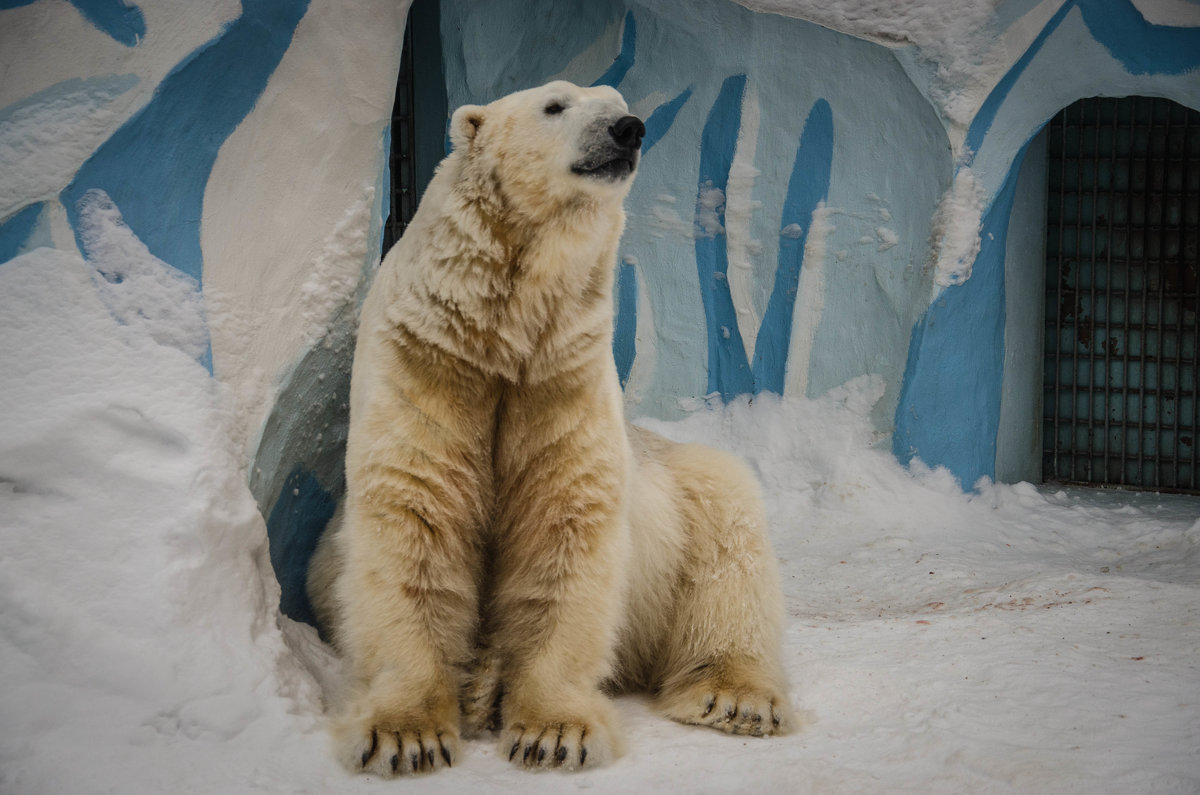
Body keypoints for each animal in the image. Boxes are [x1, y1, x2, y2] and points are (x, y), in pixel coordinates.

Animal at [309, 81, 792, 778]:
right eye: (555, 105)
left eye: (617, 99)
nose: (628, 128)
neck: (501, 329)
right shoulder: (426, 360)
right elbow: (413, 518)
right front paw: (406, 735)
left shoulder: (562, 373)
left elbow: (563, 526)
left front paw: (553, 732)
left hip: (684, 486)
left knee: (729, 541)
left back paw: (736, 697)